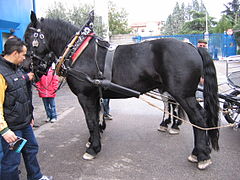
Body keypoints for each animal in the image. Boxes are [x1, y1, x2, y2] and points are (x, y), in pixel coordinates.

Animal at [23, 11, 219, 169]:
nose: (26, 67)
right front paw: (93, 141)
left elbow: (91, 121)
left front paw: (93, 149)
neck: (79, 51)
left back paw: (201, 155)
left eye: (28, 39)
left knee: (199, 118)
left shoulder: (85, 96)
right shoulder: (95, 95)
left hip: (183, 95)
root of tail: (193, 47)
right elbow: (97, 117)